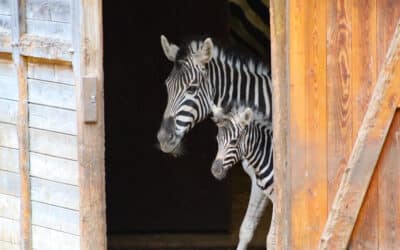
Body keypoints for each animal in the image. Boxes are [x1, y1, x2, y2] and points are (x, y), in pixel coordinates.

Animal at [158, 35, 274, 250]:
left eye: (192, 88)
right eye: (167, 86)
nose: (163, 138)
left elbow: (274, 236)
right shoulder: (258, 178)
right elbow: (246, 229)